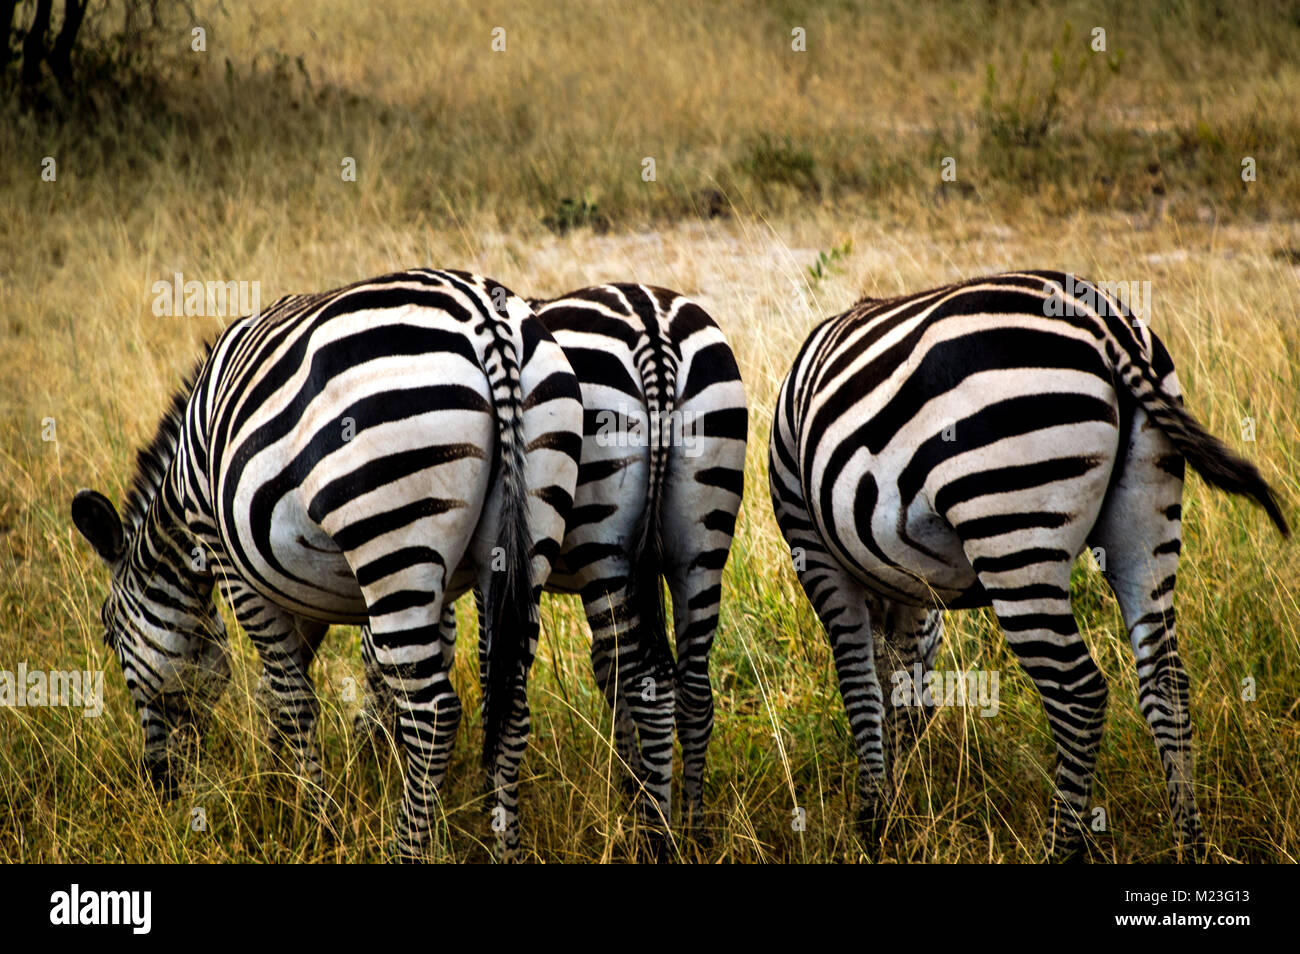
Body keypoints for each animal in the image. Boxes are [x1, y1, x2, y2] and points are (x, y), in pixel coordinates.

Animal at [69, 267, 579, 857]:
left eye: (108, 636)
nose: (161, 785)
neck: (184, 484)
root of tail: (485, 318)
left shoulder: (232, 564)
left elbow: (293, 698)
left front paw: (316, 820)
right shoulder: (326, 586)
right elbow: (286, 687)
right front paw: (279, 790)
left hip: (390, 536)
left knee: (433, 714)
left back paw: (404, 849)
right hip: (528, 525)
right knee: (511, 710)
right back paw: (505, 848)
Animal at [353, 283, 754, 837]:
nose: (368, 755)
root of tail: (652, 326)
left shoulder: (498, 571)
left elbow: (493, 666)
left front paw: (491, 790)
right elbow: (606, 669)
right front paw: (628, 782)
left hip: (605, 529)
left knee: (653, 684)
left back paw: (655, 834)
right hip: (702, 536)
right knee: (694, 686)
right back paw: (693, 826)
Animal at [769, 270, 1289, 868]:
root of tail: (1105, 323)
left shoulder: (816, 551)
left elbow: (862, 687)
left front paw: (871, 825)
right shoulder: (908, 588)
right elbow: (901, 682)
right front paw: (890, 809)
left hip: (1010, 526)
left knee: (1079, 694)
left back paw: (1060, 849)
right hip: (1148, 512)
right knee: (1167, 681)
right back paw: (1192, 846)